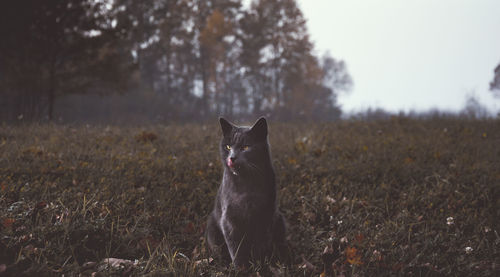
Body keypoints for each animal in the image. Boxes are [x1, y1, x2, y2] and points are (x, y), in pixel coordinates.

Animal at [206, 117, 288, 268]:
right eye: (228, 147)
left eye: (245, 147)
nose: (232, 157)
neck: (246, 185)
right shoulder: (229, 218)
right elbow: (236, 246)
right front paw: (241, 267)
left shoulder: (265, 214)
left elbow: (259, 243)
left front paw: (257, 264)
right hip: (212, 227)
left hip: (280, 220)